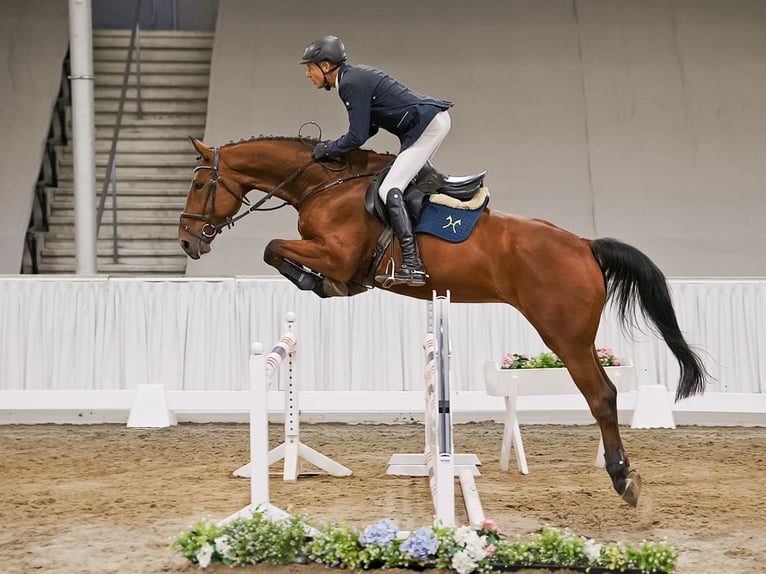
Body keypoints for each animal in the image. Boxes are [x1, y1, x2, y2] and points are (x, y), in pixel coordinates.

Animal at [179, 135, 708, 508]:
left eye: (200, 184)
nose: (188, 242)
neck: (324, 185)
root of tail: (584, 245)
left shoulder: (336, 252)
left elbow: (274, 249)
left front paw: (322, 284)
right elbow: (276, 251)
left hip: (565, 334)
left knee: (602, 395)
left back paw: (622, 478)